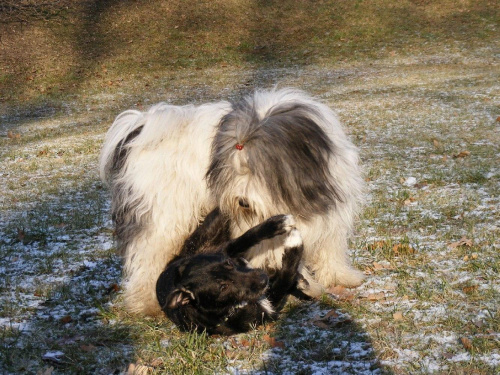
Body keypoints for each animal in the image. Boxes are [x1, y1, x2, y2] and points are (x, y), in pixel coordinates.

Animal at [98, 89, 364, 316]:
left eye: (258, 170)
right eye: (234, 170)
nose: (242, 201)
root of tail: (141, 128)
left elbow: (330, 245)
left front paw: (341, 277)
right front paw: (304, 283)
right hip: (161, 212)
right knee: (147, 252)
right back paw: (146, 302)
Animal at [155, 210, 304, 336]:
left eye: (228, 264)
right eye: (223, 287)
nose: (263, 279)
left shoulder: (226, 250)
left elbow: (247, 237)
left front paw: (278, 223)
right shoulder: (268, 307)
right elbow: (284, 280)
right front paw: (294, 242)